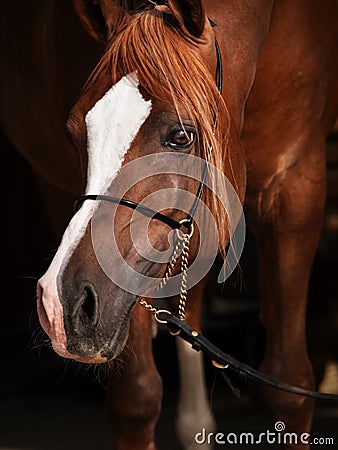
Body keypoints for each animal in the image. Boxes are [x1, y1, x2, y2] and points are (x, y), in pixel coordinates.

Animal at [1, 0, 338, 450]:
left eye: (180, 135)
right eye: (75, 133)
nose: (63, 304)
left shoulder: (296, 187)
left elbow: (289, 386)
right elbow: (136, 398)